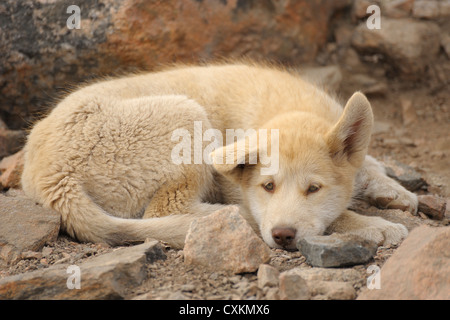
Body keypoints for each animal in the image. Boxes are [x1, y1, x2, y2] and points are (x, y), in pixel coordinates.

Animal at [22, 61, 418, 249]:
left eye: (314, 189)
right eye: (268, 186)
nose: (282, 236)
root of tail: (51, 177)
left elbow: (366, 162)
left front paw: (391, 188)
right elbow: (337, 215)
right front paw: (375, 226)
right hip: (187, 117)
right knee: (165, 212)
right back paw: (229, 217)